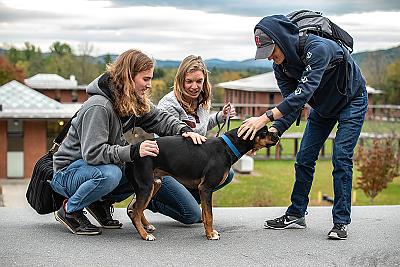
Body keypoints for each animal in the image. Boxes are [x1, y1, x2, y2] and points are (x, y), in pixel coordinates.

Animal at [125, 126, 278, 242]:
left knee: (136, 209)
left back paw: (147, 227)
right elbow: (209, 215)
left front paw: (208, 232)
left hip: (155, 184)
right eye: (264, 131)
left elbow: (205, 214)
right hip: (146, 187)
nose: (276, 134)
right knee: (135, 213)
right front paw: (211, 235)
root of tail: (135, 147)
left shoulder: (203, 190)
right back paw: (145, 235)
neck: (227, 147)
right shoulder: (206, 188)